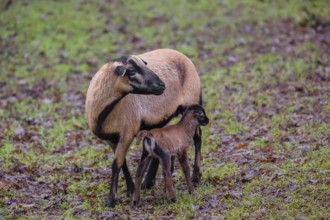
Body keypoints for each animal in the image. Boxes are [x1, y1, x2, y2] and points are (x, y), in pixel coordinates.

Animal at [84, 47, 204, 207]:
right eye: (131, 71)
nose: (162, 85)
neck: (103, 113)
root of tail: (180, 53)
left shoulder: (128, 132)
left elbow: (116, 164)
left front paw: (111, 200)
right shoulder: (111, 139)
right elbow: (122, 163)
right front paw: (130, 190)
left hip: (192, 100)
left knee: (197, 136)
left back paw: (196, 176)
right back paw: (148, 182)